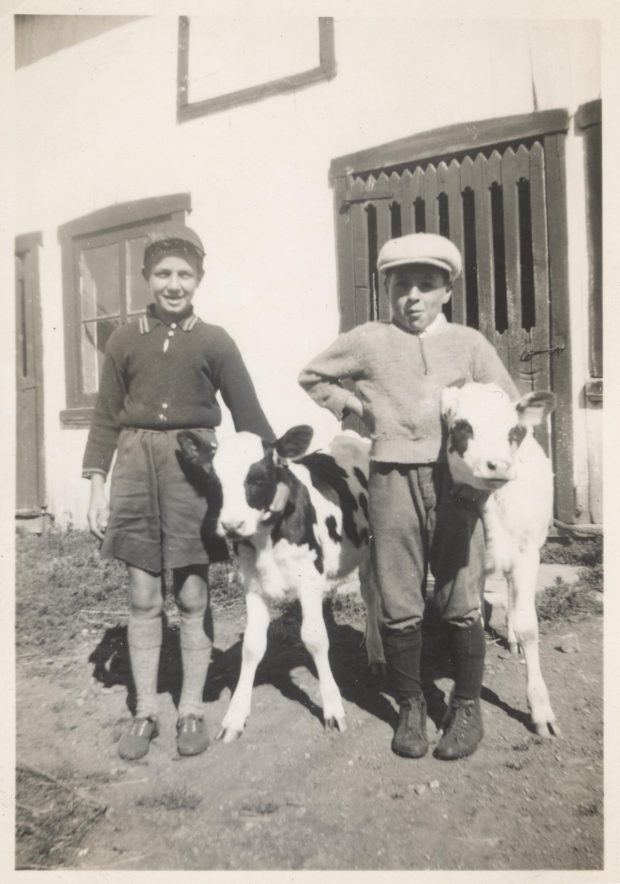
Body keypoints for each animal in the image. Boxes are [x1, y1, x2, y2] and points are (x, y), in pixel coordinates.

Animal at [177, 424, 382, 744]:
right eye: (214, 481)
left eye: (259, 478)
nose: (231, 525)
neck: (267, 539)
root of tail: (350, 435)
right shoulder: (253, 583)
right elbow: (251, 646)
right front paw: (235, 717)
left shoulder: (310, 580)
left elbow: (315, 638)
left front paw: (333, 709)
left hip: (370, 550)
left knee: (371, 595)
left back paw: (375, 653)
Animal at [440, 384, 560, 736]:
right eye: (462, 427)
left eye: (514, 431)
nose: (500, 465)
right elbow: (471, 622)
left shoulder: (527, 557)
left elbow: (528, 625)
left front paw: (540, 709)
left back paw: (512, 637)